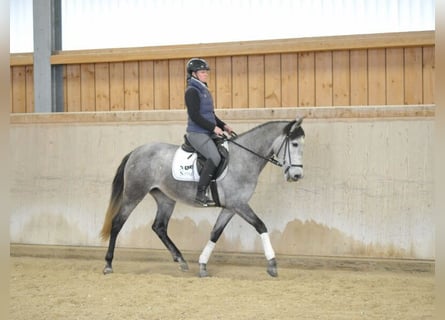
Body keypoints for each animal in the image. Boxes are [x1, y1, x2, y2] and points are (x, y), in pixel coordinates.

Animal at [99, 117, 304, 278]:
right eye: (294, 144)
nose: (297, 175)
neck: (244, 158)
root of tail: (136, 152)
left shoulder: (230, 207)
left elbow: (215, 233)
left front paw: (203, 265)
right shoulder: (239, 204)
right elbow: (261, 226)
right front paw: (272, 264)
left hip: (165, 198)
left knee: (159, 227)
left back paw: (181, 260)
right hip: (134, 194)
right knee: (117, 223)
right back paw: (108, 264)